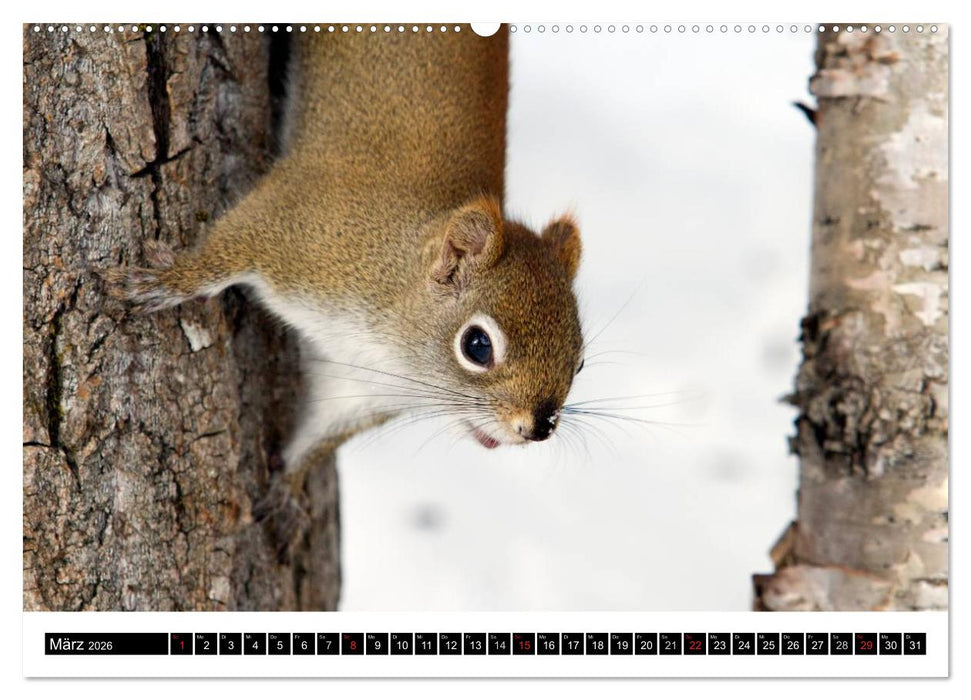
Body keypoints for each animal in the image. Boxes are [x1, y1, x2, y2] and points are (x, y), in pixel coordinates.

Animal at [114, 25, 585, 543]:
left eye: (579, 362)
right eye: (477, 346)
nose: (540, 426)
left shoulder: (358, 388)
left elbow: (319, 430)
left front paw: (290, 489)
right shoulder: (298, 228)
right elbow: (224, 252)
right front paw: (166, 280)